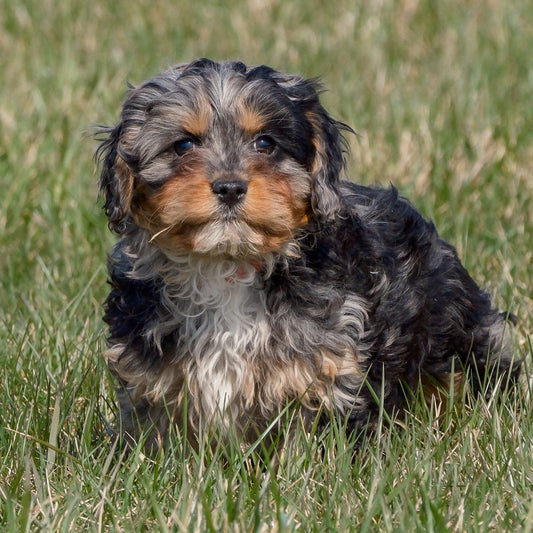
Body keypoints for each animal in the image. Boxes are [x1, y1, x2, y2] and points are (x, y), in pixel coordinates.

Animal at [96, 58, 520, 448]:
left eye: (265, 143)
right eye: (183, 144)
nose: (230, 186)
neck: (228, 264)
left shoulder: (326, 368)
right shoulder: (151, 377)